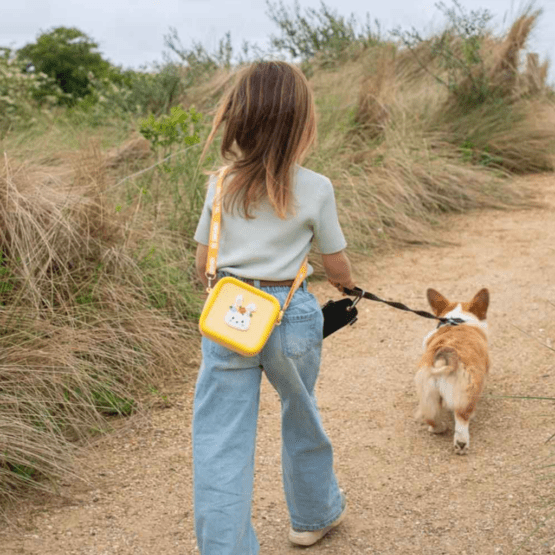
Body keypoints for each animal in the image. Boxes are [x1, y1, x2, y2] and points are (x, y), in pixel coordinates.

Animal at [416, 288, 490, 454]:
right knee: (462, 422)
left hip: (428, 394)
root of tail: (446, 358)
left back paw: (438, 428)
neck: (457, 320)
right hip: (466, 397)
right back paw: (461, 445)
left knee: (431, 417)